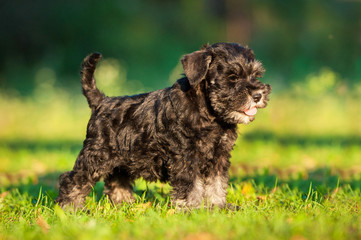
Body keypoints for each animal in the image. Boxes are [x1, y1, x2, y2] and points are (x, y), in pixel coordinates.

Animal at [55, 42, 270, 209]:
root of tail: (101, 102)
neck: (209, 113)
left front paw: (218, 206)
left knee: (116, 181)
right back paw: (70, 208)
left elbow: (216, 184)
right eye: (232, 77)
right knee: (73, 180)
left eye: (256, 75)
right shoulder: (186, 157)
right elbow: (191, 186)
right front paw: (193, 209)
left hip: (122, 158)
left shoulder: (219, 157)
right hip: (96, 155)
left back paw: (126, 205)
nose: (258, 95)